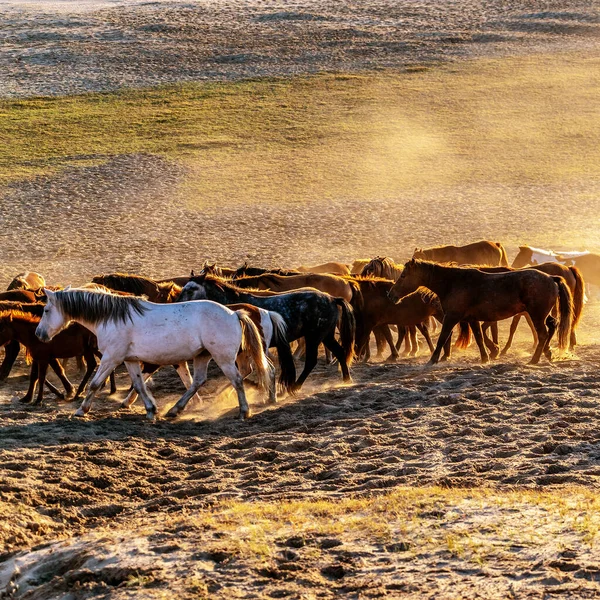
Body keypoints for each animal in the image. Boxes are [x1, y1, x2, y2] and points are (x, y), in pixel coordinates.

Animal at [35, 288, 272, 420]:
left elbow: (95, 384)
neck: (111, 318)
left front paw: (81, 410)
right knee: (198, 381)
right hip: (202, 356)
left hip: (223, 358)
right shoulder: (130, 360)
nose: (39, 334)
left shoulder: (111, 358)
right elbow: (139, 385)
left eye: (46, 310)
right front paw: (150, 409)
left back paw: (243, 411)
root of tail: (234, 314)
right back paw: (175, 410)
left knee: (237, 380)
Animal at [176, 272, 354, 390]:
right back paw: (346, 380)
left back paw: (295, 387)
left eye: (191, 289)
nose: (176, 303)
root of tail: (331, 299)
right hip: (326, 335)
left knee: (311, 361)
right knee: (339, 352)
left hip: (314, 336)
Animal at [386, 258, 576, 364]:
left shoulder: (451, 317)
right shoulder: (472, 319)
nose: (391, 295)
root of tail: (551, 278)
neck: (453, 283)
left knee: (543, 334)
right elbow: (479, 338)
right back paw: (547, 353)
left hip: (536, 315)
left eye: (403, 276)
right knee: (552, 326)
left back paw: (535, 359)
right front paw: (486, 357)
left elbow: (442, 338)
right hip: (541, 314)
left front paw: (432, 360)